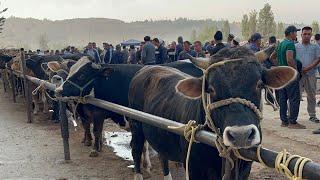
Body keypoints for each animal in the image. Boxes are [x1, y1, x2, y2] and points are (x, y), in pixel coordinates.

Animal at [126, 45, 296, 179]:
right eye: (211, 89)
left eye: (259, 84)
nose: (240, 134)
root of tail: (146, 68)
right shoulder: (193, 169)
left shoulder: (245, 168)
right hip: (136, 125)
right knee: (136, 150)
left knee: (163, 155)